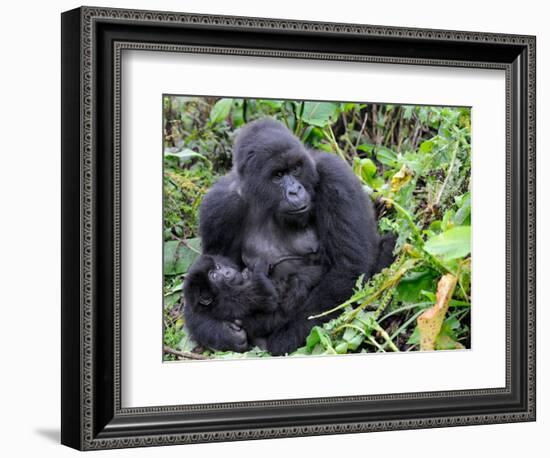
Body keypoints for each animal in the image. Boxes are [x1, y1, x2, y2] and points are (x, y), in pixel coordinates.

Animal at [192, 117, 394, 354]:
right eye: (278, 175)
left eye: (296, 169)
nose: (295, 191)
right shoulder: (219, 207)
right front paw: (222, 333)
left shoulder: (335, 176)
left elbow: (348, 269)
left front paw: (283, 340)